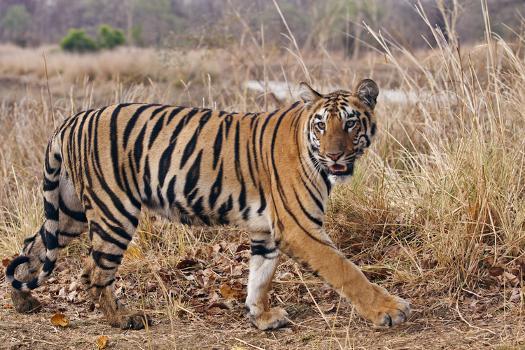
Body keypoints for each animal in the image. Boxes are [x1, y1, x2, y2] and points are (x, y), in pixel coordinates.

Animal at [6, 79, 412, 330]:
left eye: (351, 123)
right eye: (321, 126)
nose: (335, 155)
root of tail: (73, 119)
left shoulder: (266, 230)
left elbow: (260, 276)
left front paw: (261, 318)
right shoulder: (301, 228)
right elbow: (347, 271)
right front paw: (390, 310)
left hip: (69, 212)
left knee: (31, 248)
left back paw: (23, 301)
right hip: (114, 212)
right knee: (93, 272)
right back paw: (123, 320)